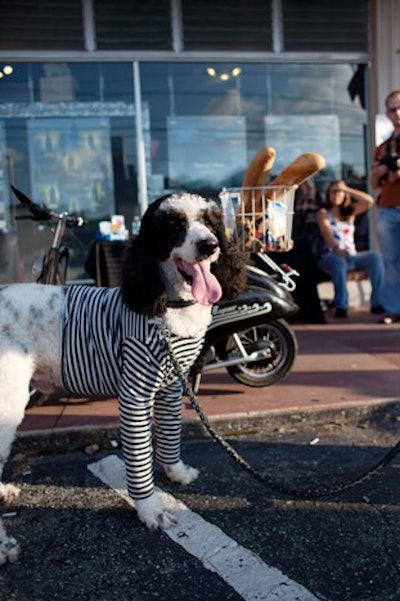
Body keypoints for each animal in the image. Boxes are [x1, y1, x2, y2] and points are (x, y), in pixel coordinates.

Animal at [0, 192, 247, 564]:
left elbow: (170, 439)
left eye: (210, 220)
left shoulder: (170, 391)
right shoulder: (135, 396)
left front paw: (176, 473)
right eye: (172, 225)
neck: (167, 308)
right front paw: (150, 510)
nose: (210, 245)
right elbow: (140, 459)